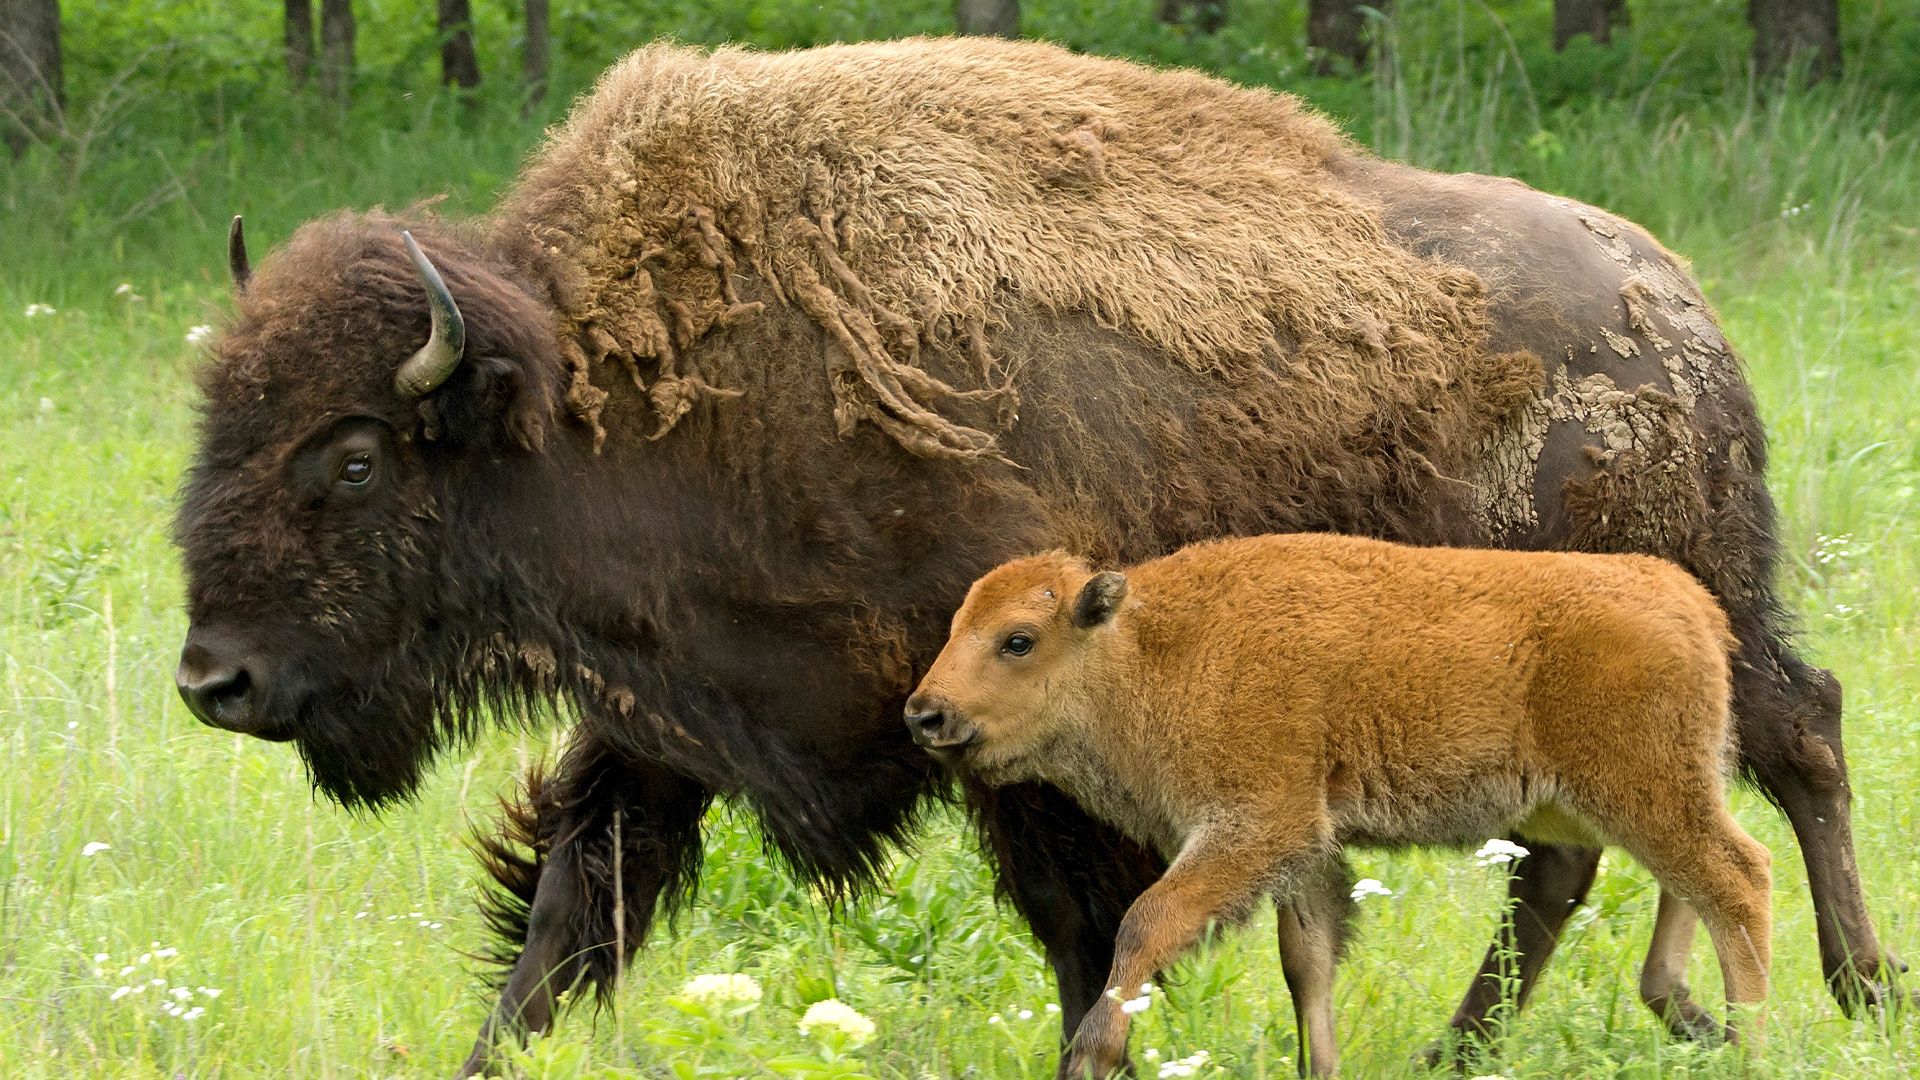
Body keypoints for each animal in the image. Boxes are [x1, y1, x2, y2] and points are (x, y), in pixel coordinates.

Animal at [902, 534, 1766, 1068]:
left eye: (1018, 640)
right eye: (956, 625)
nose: (925, 715)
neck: (1153, 648)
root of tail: (1687, 599)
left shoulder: (1254, 828)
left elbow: (1148, 921)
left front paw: (1091, 1055)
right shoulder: (1306, 850)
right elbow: (1306, 965)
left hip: (1644, 793)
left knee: (1739, 880)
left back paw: (1749, 1048)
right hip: (1633, 797)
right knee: (1694, 887)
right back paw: (1695, 1017)